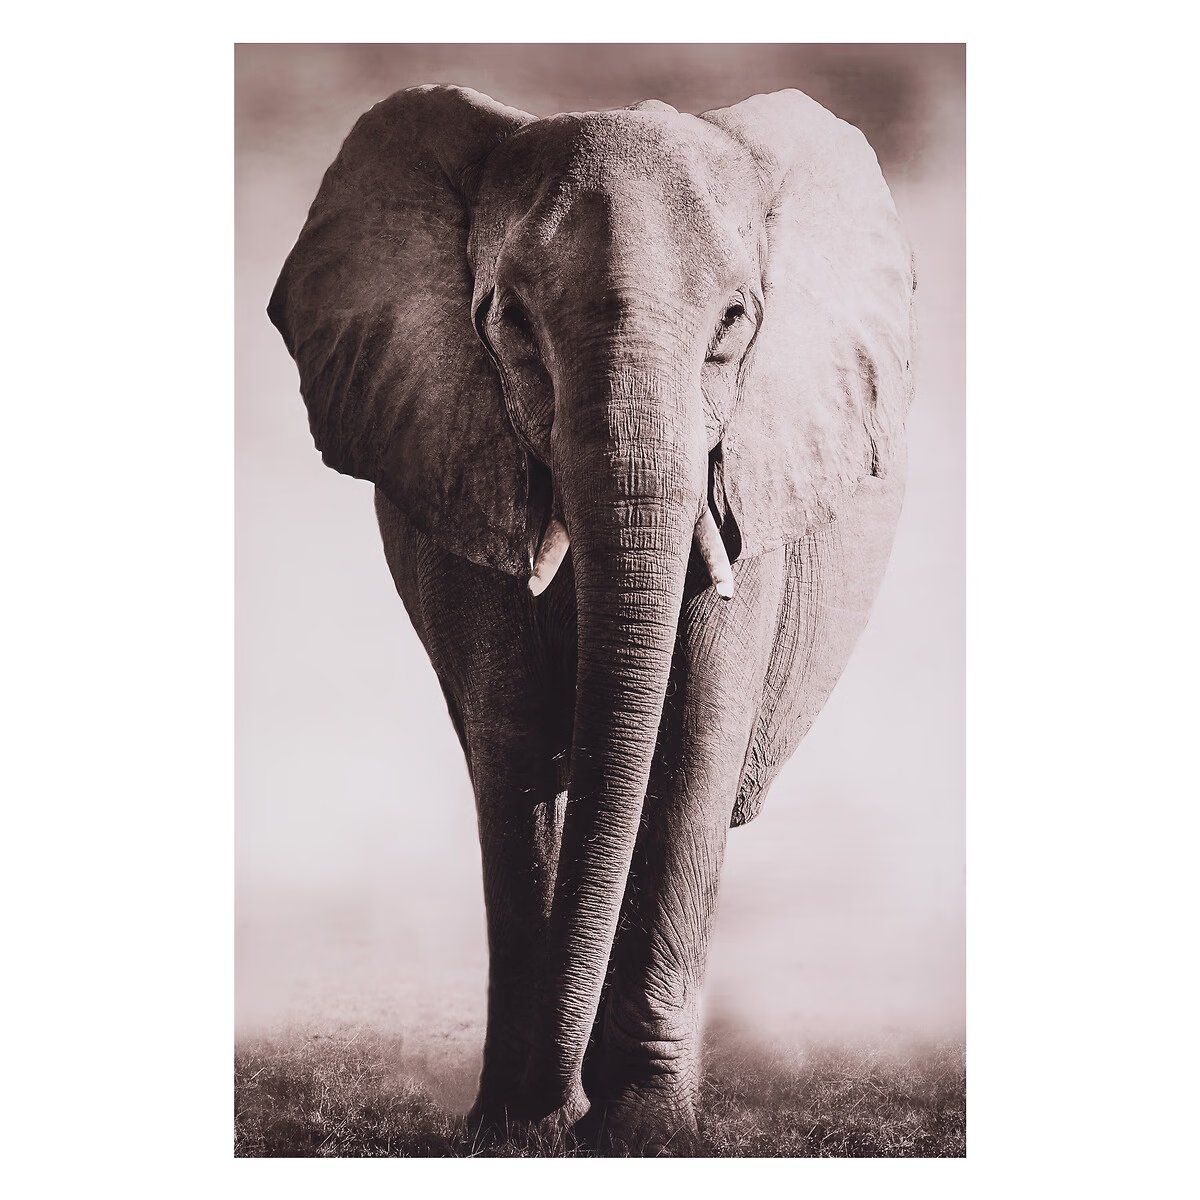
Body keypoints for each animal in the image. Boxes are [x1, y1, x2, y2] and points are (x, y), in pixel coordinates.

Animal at [269, 84, 915, 1153]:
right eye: (512, 322)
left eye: (734, 324)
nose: (553, 1108)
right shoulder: (461, 457)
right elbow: (515, 743)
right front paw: (513, 1127)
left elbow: (691, 742)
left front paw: (642, 1134)